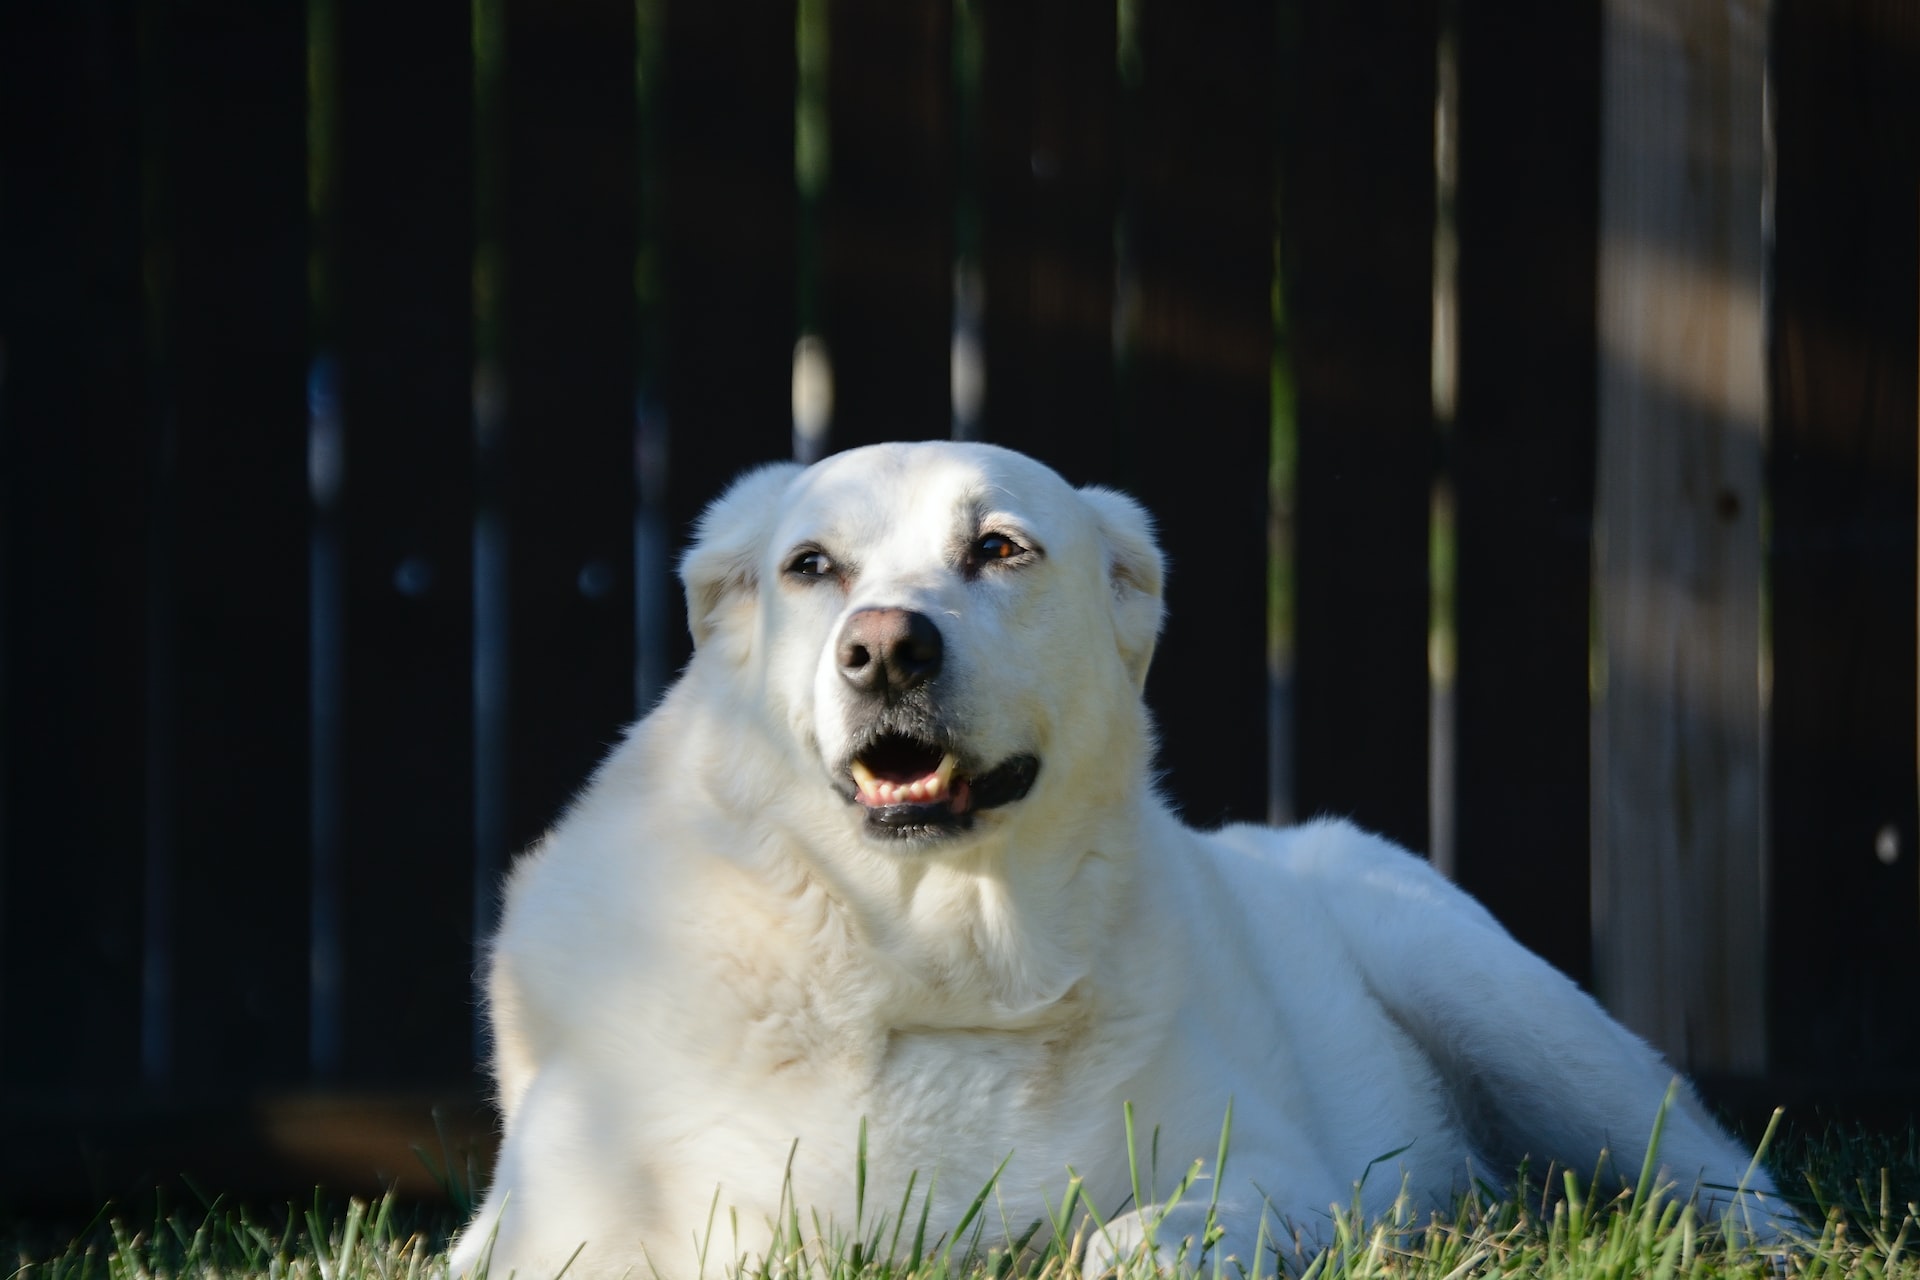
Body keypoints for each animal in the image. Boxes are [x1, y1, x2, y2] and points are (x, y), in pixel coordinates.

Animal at [456, 443, 1789, 1280]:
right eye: (811, 567)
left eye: (1000, 548)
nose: (885, 648)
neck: (933, 971)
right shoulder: (554, 1228)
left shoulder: (1286, 1169)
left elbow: (1164, 1226)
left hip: (1515, 1011)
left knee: (1722, 1173)